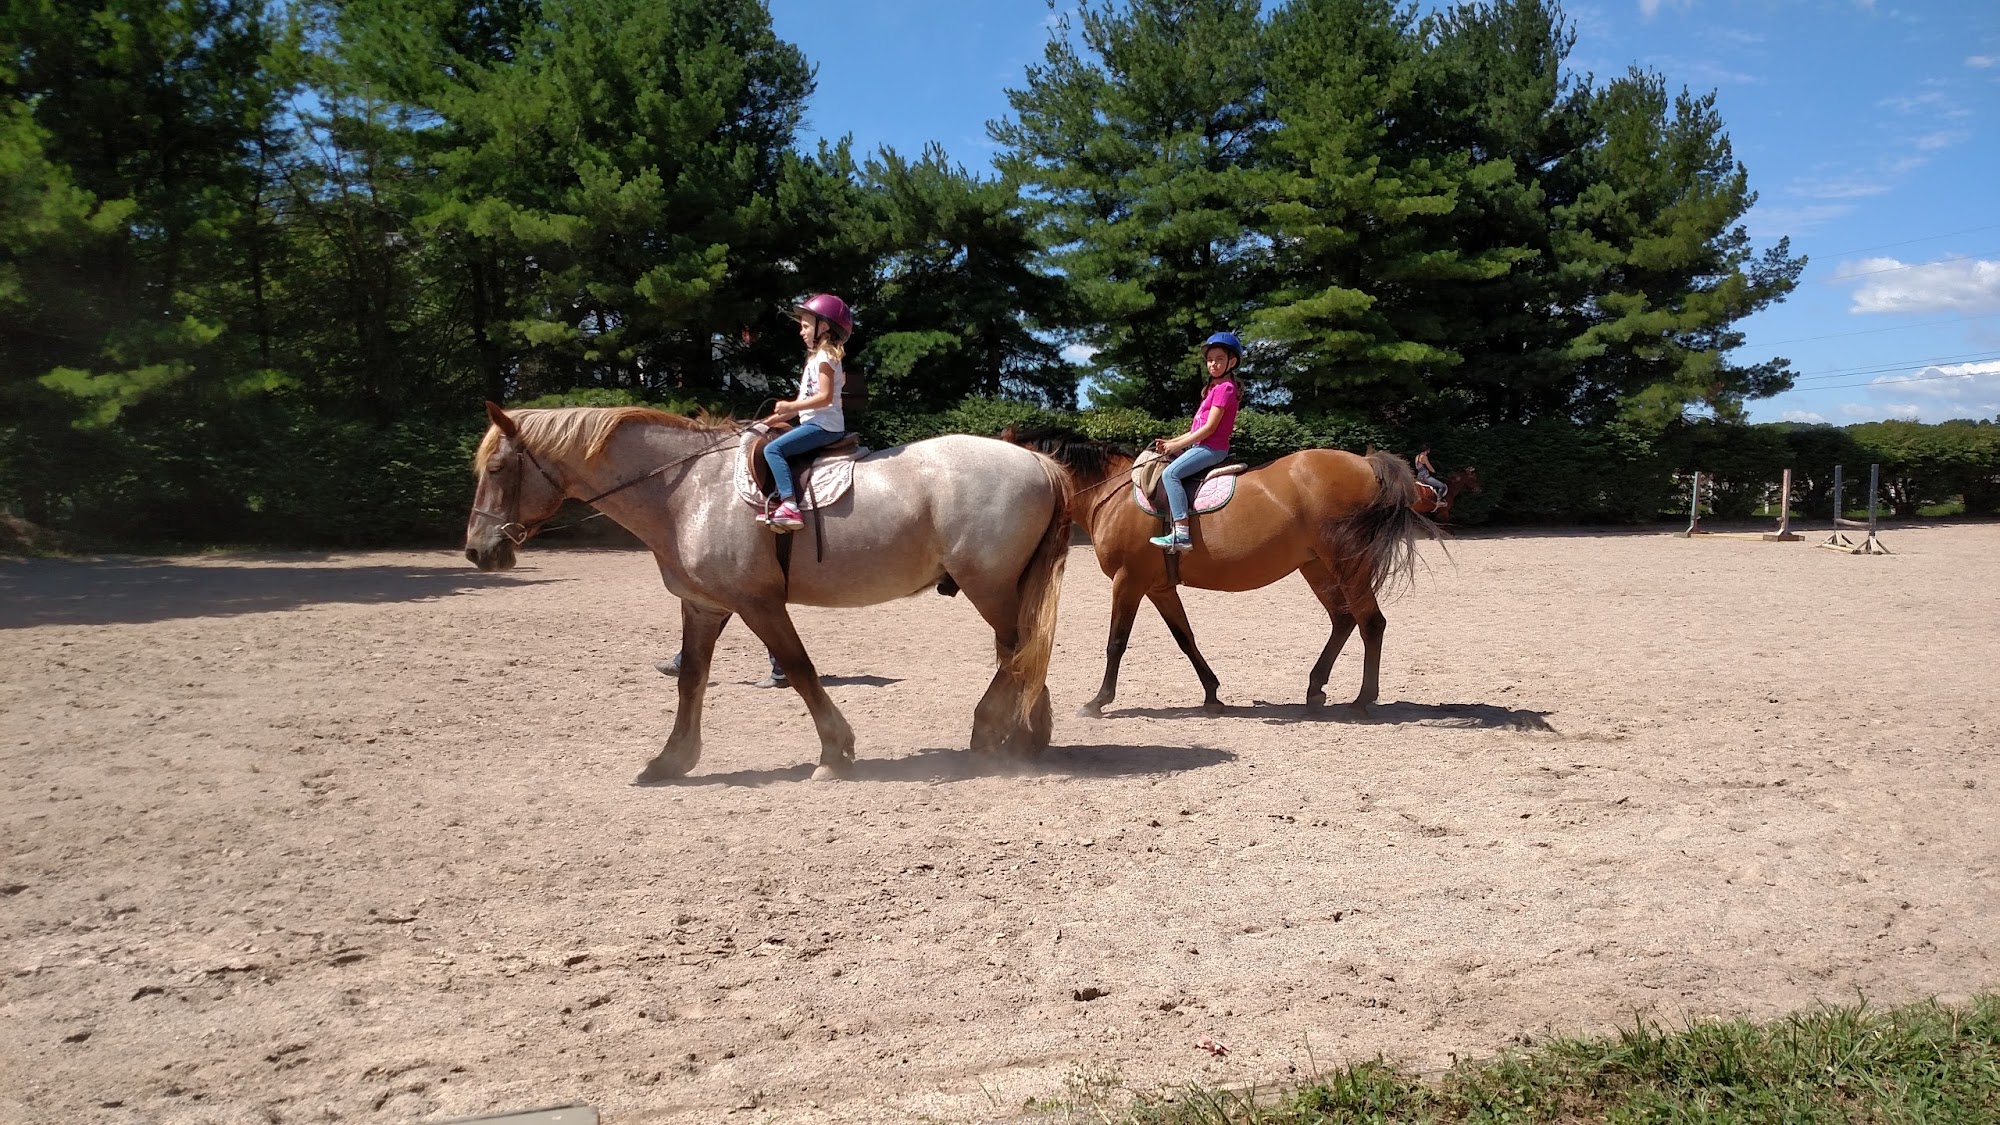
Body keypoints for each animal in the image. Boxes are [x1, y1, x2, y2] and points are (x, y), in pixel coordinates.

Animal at [466, 403, 1072, 782]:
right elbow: (691, 678)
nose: (476, 550)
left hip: (988, 585)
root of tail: (1034, 458)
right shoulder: (704, 606)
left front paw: (834, 752)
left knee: (1017, 651)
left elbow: (799, 669)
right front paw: (670, 760)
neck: (687, 491)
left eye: (496, 467)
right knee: (1019, 652)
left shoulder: (757, 603)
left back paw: (997, 734)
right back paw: (1022, 736)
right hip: (1000, 587)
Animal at [1002, 426, 1435, 717]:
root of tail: (1365, 463)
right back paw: (1315, 689)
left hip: (1347, 563)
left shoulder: (1129, 581)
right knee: (1344, 619)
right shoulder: (1158, 587)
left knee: (1371, 622)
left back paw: (1363, 699)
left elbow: (1116, 642)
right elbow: (1185, 638)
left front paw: (1098, 701)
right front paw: (1211, 693)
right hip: (1316, 566)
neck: (1116, 493)